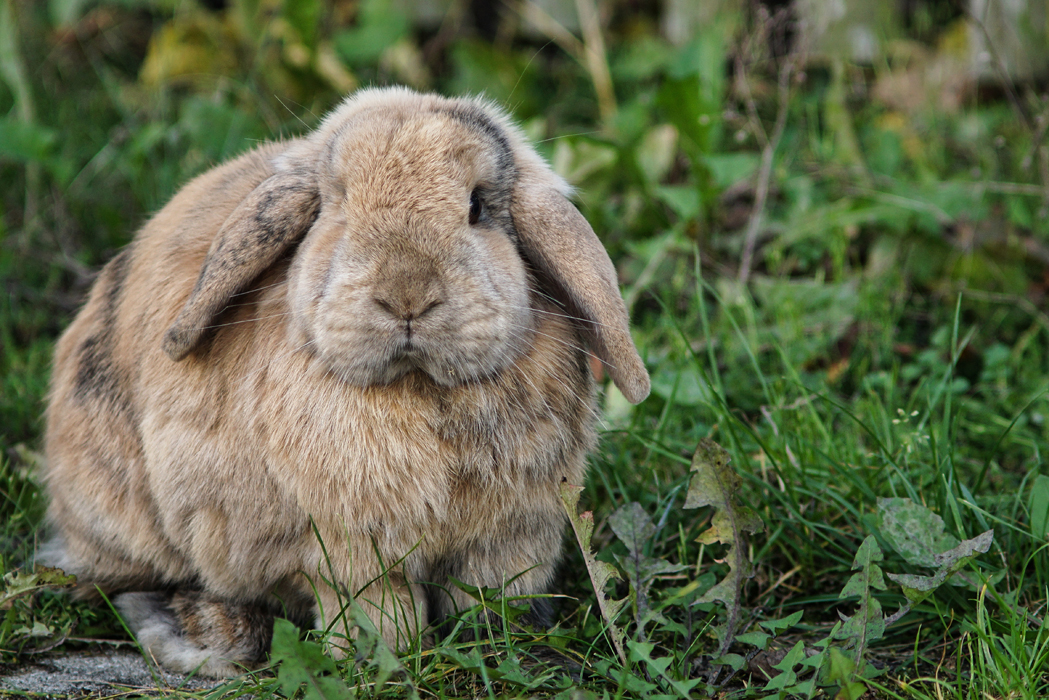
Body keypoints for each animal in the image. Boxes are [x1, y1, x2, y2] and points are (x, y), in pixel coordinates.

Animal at [43, 85, 646, 675]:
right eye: (339, 208)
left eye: (476, 207)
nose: (407, 297)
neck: (418, 388)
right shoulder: (349, 554)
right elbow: (377, 609)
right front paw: (381, 660)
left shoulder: (511, 539)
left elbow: (491, 599)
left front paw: (501, 648)